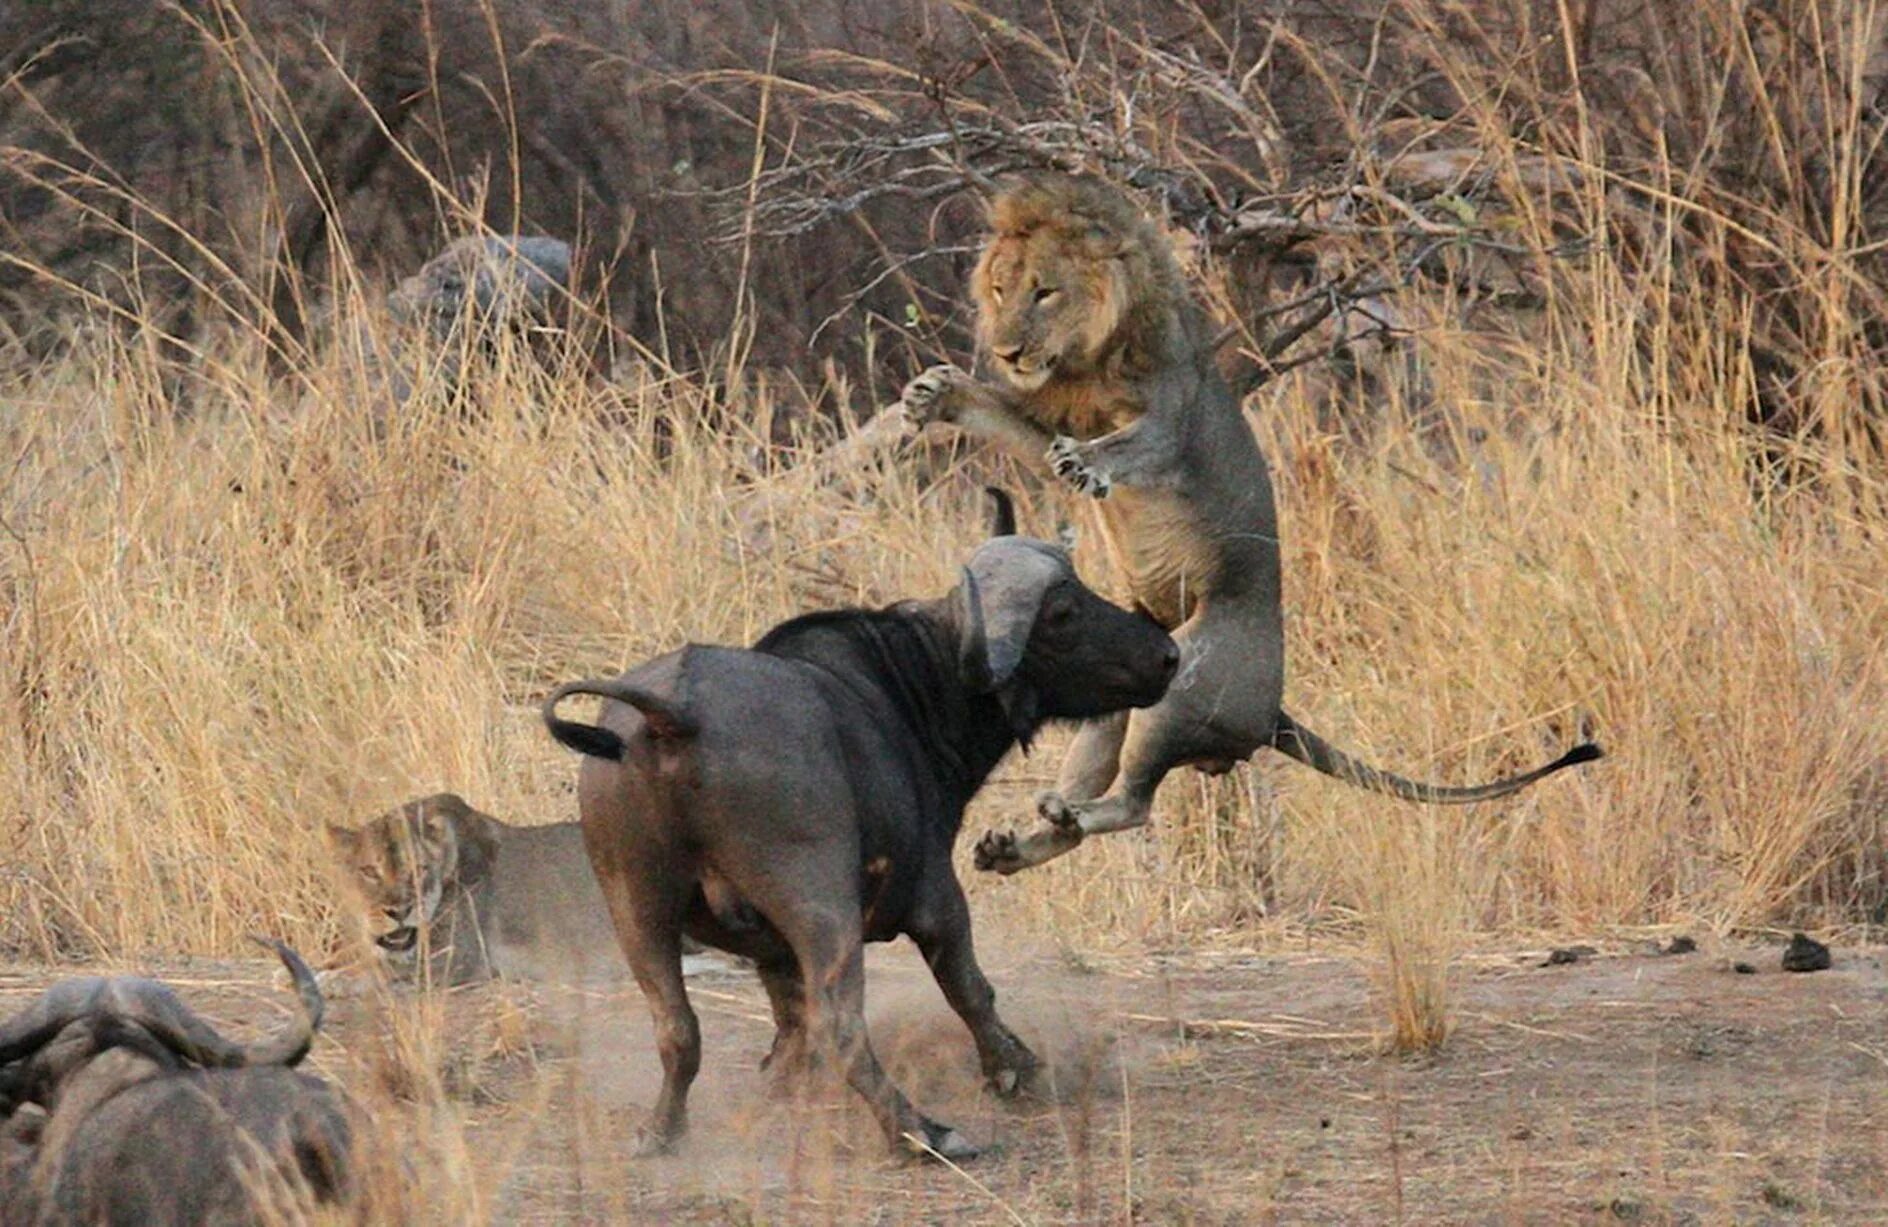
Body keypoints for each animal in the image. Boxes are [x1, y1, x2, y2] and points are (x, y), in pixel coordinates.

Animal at [898, 174, 1593, 879]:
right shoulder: (1047, 421)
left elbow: (1134, 444)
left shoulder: (1172, 421)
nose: (1007, 349)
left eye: (1045, 291)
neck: (1084, 359)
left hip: (1187, 677)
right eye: (999, 289)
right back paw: (1014, 844)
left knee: (1135, 804)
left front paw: (1086, 461)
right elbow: (1005, 418)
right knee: (1094, 794)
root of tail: (1270, 711)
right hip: (1117, 683)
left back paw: (1071, 815)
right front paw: (934, 393)